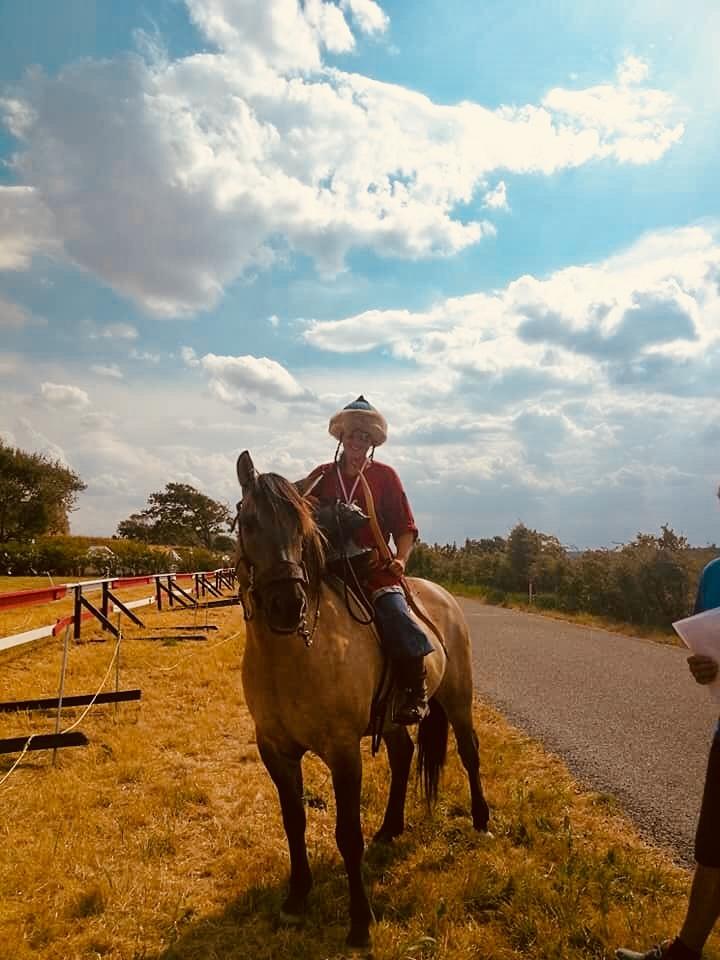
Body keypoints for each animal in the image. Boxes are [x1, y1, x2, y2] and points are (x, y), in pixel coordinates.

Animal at [236, 450, 490, 952]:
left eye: (302, 528)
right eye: (249, 522)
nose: (287, 604)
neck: (293, 655)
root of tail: (441, 595)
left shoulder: (342, 751)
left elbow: (347, 835)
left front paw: (359, 922)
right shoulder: (275, 749)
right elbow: (293, 821)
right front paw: (297, 898)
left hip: (458, 699)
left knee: (469, 753)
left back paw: (481, 820)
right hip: (393, 720)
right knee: (404, 754)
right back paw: (391, 827)